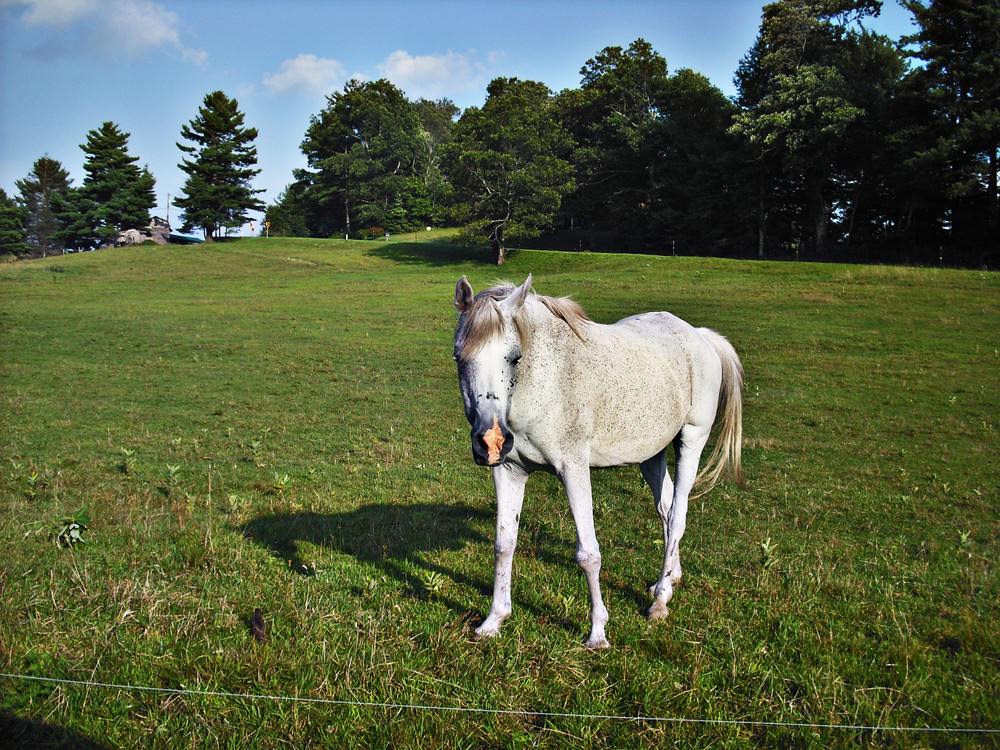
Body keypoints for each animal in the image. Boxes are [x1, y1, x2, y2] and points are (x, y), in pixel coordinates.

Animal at [454, 274, 744, 648]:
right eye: (459, 357)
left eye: (514, 357)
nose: (490, 441)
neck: (546, 381)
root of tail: (700, 335)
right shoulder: (508, 471)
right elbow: (504, 545)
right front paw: (493, 621)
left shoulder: (573, 469)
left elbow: (588, 554)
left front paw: (597, 632)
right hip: (651, 454)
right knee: (666, 510)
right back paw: (667, 580)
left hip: (692, 440)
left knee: (677, 517)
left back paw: (660, 601)